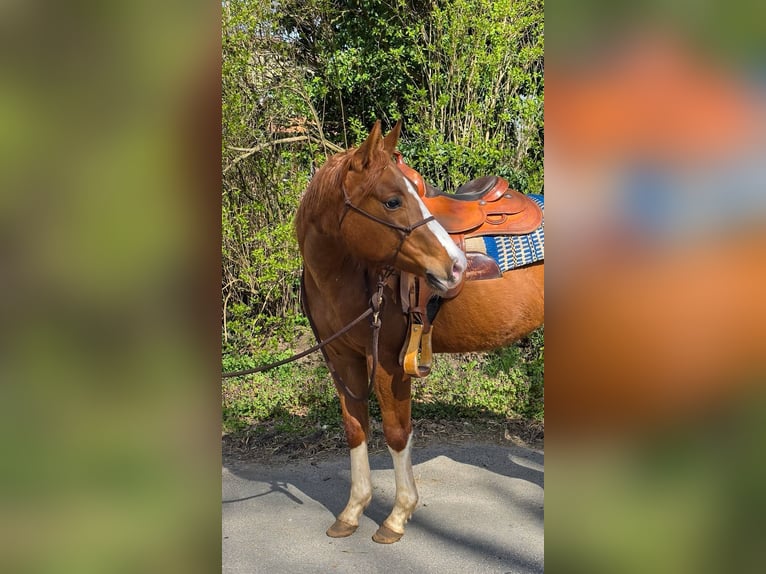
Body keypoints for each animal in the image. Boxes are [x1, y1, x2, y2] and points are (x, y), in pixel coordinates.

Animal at [295, 120, 544, 543]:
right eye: (393, 201)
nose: (457, 265)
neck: (346, 275)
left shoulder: (388, 363)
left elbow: (397, 433)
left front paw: (397, 516)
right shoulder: (341, 360)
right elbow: (356, 429)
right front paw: (352, 512)